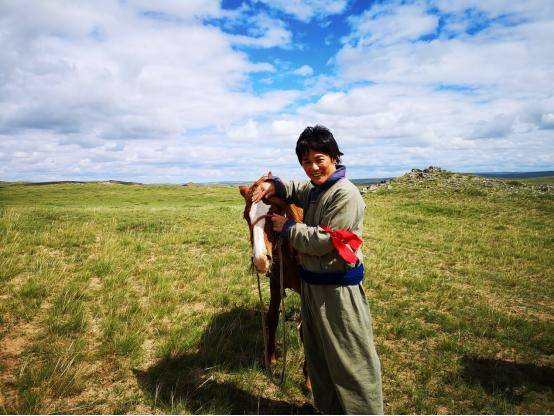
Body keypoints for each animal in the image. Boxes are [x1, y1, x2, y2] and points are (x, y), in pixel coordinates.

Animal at [238, 174, 310, 388]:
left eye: (275, 211)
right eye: (246, 216)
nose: (261, 260)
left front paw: (309, 378)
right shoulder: (275, 285)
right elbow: (271, 319)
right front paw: (270, 359)